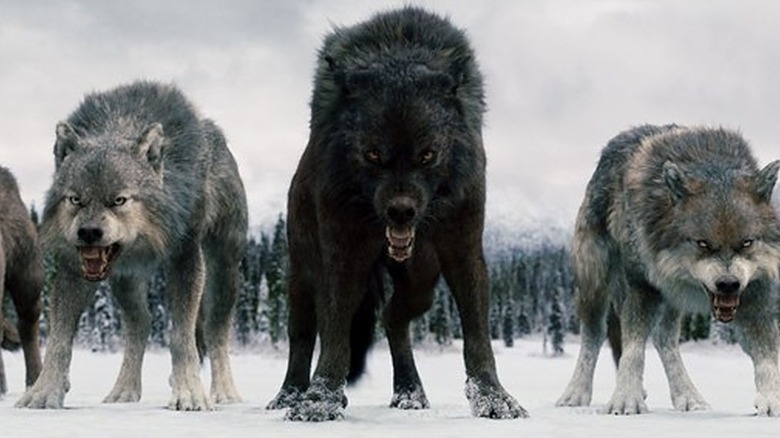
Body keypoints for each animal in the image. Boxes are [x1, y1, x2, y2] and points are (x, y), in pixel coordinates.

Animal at [15, 81, 248, 410]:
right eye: (76, 199)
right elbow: (59, 339)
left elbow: (181, 336)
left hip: (223, 271)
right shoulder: (73, 268)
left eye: (119, 200)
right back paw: (123, 391)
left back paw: (225, 393)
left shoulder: (185, 255)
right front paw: (43, 393)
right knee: (142, 325)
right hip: (126, 281)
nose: (89, 233)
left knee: (216, 331)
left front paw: (189, 393)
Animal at [266, 7, 526, 421]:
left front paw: (493, 398)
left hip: (422, 284)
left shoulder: (464, 250)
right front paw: (319, 400)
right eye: (373, 154)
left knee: (392, 316)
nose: (401, 212)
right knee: (303, 335)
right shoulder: (343, 254)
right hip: (302, 275)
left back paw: (410, 393)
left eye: (427, 155)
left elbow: (477, 336)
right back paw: (291, 394)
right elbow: (335, 334)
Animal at [556, 125, 780, 415]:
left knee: (665, 339)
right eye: (702, 243)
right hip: (595, 284)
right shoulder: (642, 286)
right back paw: (575, 393)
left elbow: (768, 356)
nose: (728, 284)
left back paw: (689, 397)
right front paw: (626, 398)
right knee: (593, 336)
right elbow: (633, 349)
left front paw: (772, 400)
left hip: (672, 298)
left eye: (746, 243)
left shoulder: (754, 293)